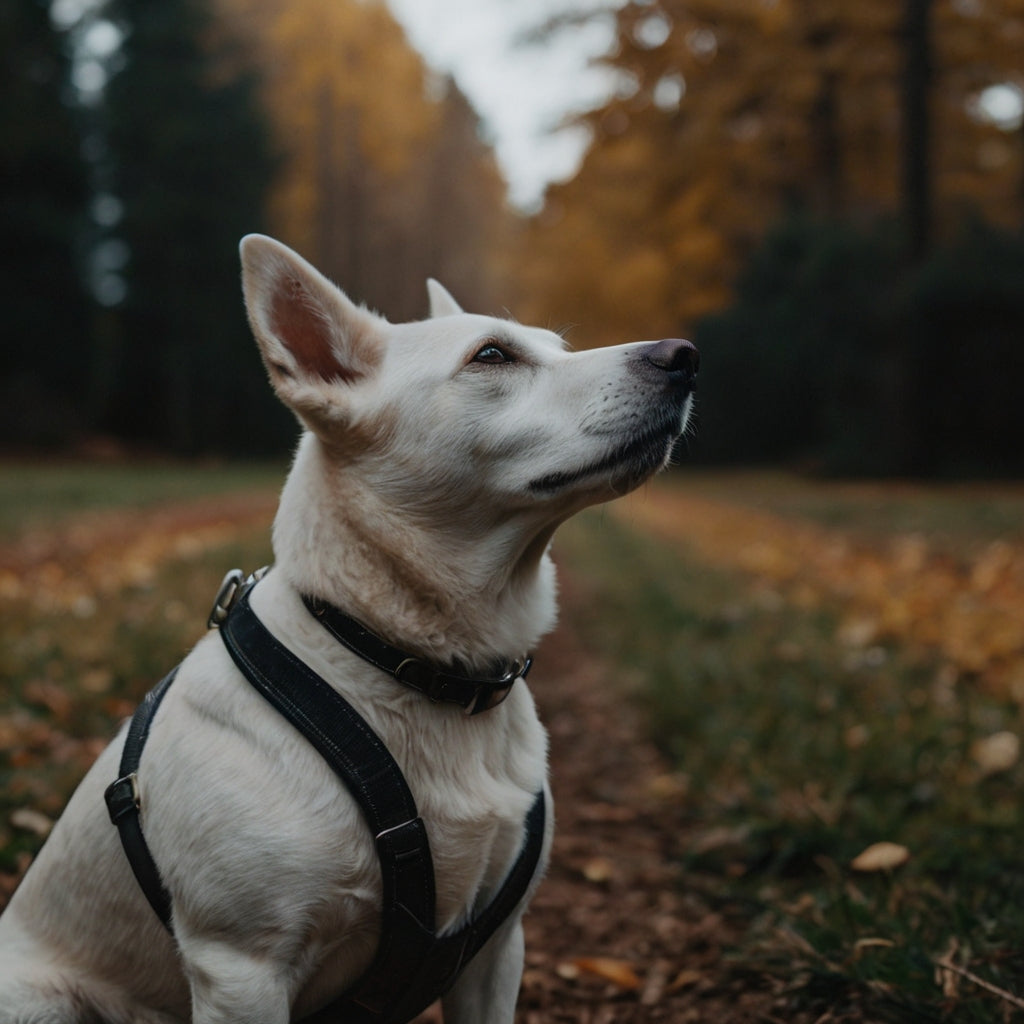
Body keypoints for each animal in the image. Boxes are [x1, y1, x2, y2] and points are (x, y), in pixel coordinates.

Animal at [0, 234, 696, 1024]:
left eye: (558, 346)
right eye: (492, 355)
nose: (684, 355)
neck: (415, 667)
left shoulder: (495, 948)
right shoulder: (241, 970)